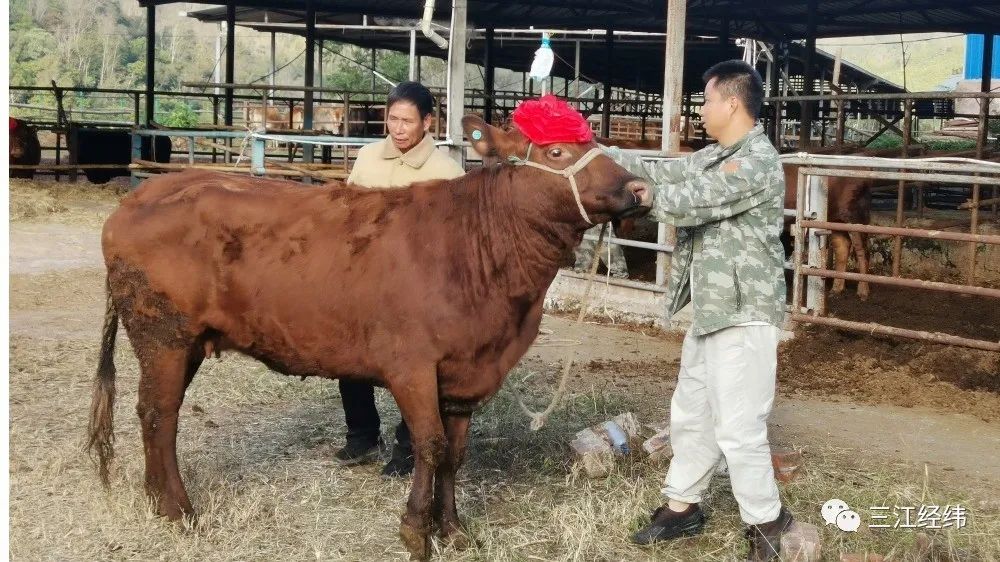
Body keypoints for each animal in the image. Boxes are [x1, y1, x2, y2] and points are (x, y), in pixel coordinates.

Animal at [86, 112, 648, 556]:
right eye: (556, 151)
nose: (639, 188)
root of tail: (140, 197)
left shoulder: (466, 374)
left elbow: (456, 454)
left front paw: (453, 529)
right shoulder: (412, 366)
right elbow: (430, 446)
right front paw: (417, 531)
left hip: (183, 343)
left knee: (154, 412)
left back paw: (158, 500)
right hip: (163, 335)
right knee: (160, 414)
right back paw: (180, 510)